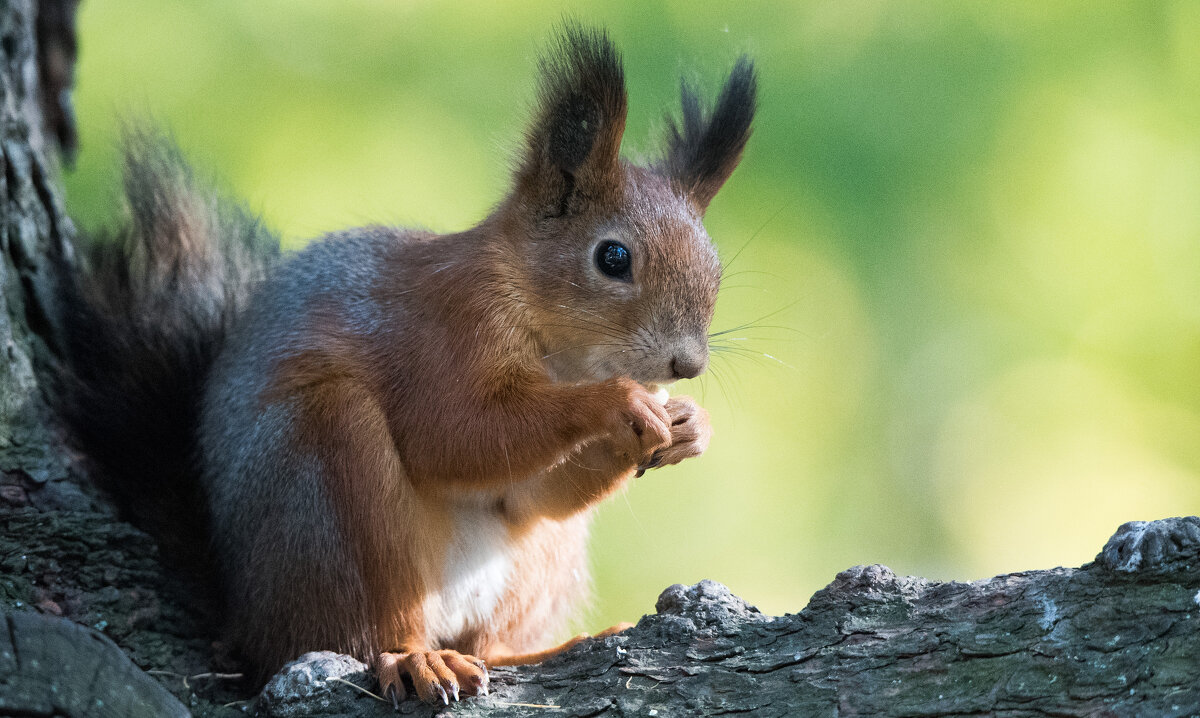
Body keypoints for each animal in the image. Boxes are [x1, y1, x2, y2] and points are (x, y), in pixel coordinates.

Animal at [56, 25, 753, 705]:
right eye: (613, 258)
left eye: (715, 266)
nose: (687, 364)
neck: (560, 350)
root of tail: (244, 617)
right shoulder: (441, 335)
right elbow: (451, 435)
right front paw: (616, 402)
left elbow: (529, 495)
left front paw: (690, 426)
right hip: (329, 479)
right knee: (357, 634)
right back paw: (414, 657)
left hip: (541, 564)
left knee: (491, 634)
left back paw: (537, 649)